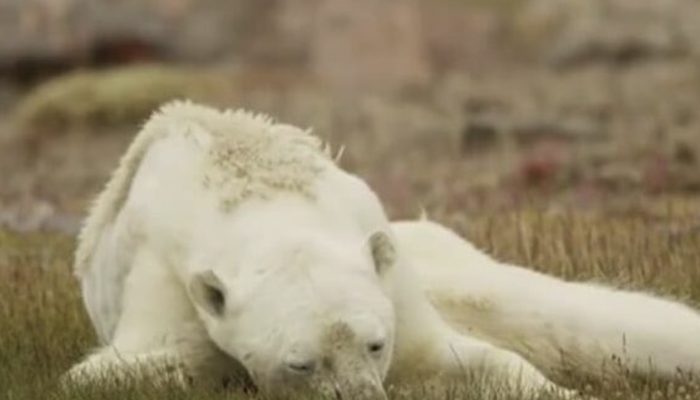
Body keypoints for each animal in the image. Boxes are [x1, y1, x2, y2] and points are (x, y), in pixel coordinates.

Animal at [66, 101, 569, 399]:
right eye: (300, 363)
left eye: (375, 344)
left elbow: (448, 353)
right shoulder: (165, 281)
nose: (364, 397)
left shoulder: (388, 275)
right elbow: (129, 366)